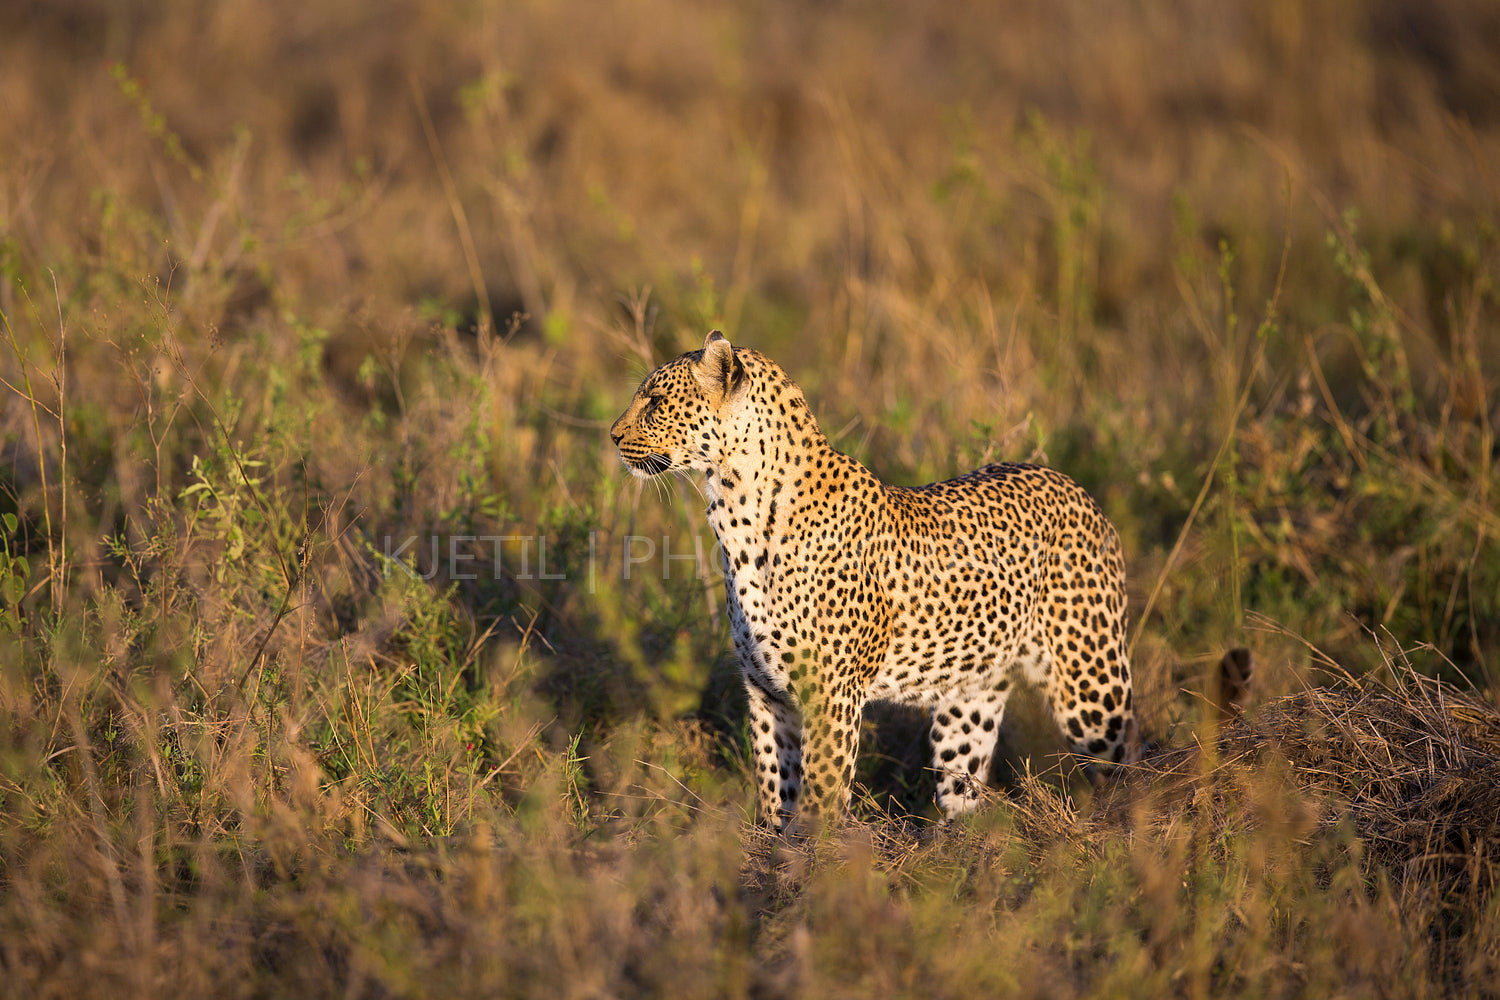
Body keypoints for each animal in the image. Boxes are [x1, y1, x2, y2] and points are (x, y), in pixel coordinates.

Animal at [609, 329, 1134, 827]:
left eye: (655, 401)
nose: (612, 436)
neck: (735, 508)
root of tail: (1073, 485)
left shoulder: (832, 694)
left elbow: (821, 793)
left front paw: (814, 855)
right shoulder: (766, 692)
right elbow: (776, 785)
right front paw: (773, 848)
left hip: (1092, 681)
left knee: (1125, 760)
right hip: (971, 698)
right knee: (964, 789)